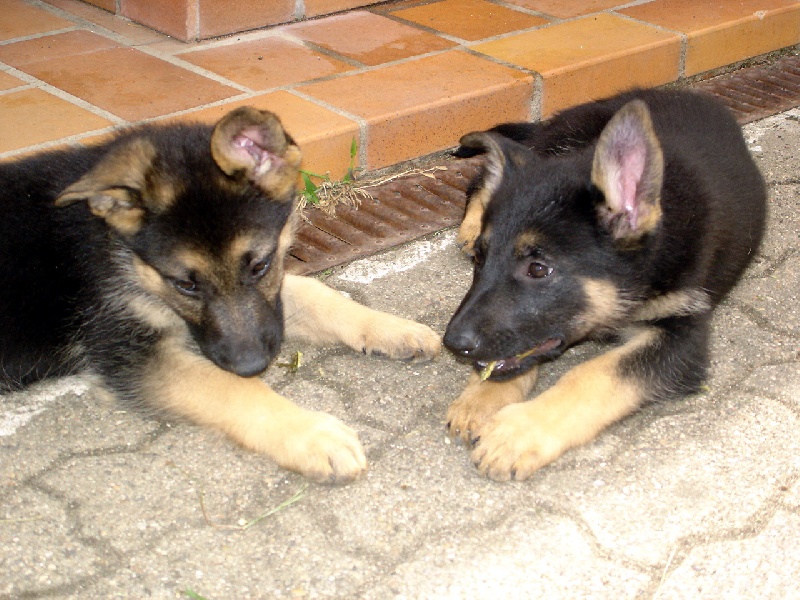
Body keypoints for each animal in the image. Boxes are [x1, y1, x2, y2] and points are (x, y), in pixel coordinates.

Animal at [0, 106, 440, 482]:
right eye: (185, 284)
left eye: (260, 266)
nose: (252, 365)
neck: (118, 248)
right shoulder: (129, 350)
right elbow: (231, 388)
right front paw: (310, 434)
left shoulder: (270, 303)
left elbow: (317, 295)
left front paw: (392, 328)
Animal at [446, 88, 764, 482]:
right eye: (480, 259)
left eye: (538, 269)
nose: (451, 344)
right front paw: (483, 396)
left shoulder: (682, 337)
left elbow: (593, 374)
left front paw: (520, 430)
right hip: (558, 140)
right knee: (480, 177)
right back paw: (471, 221)